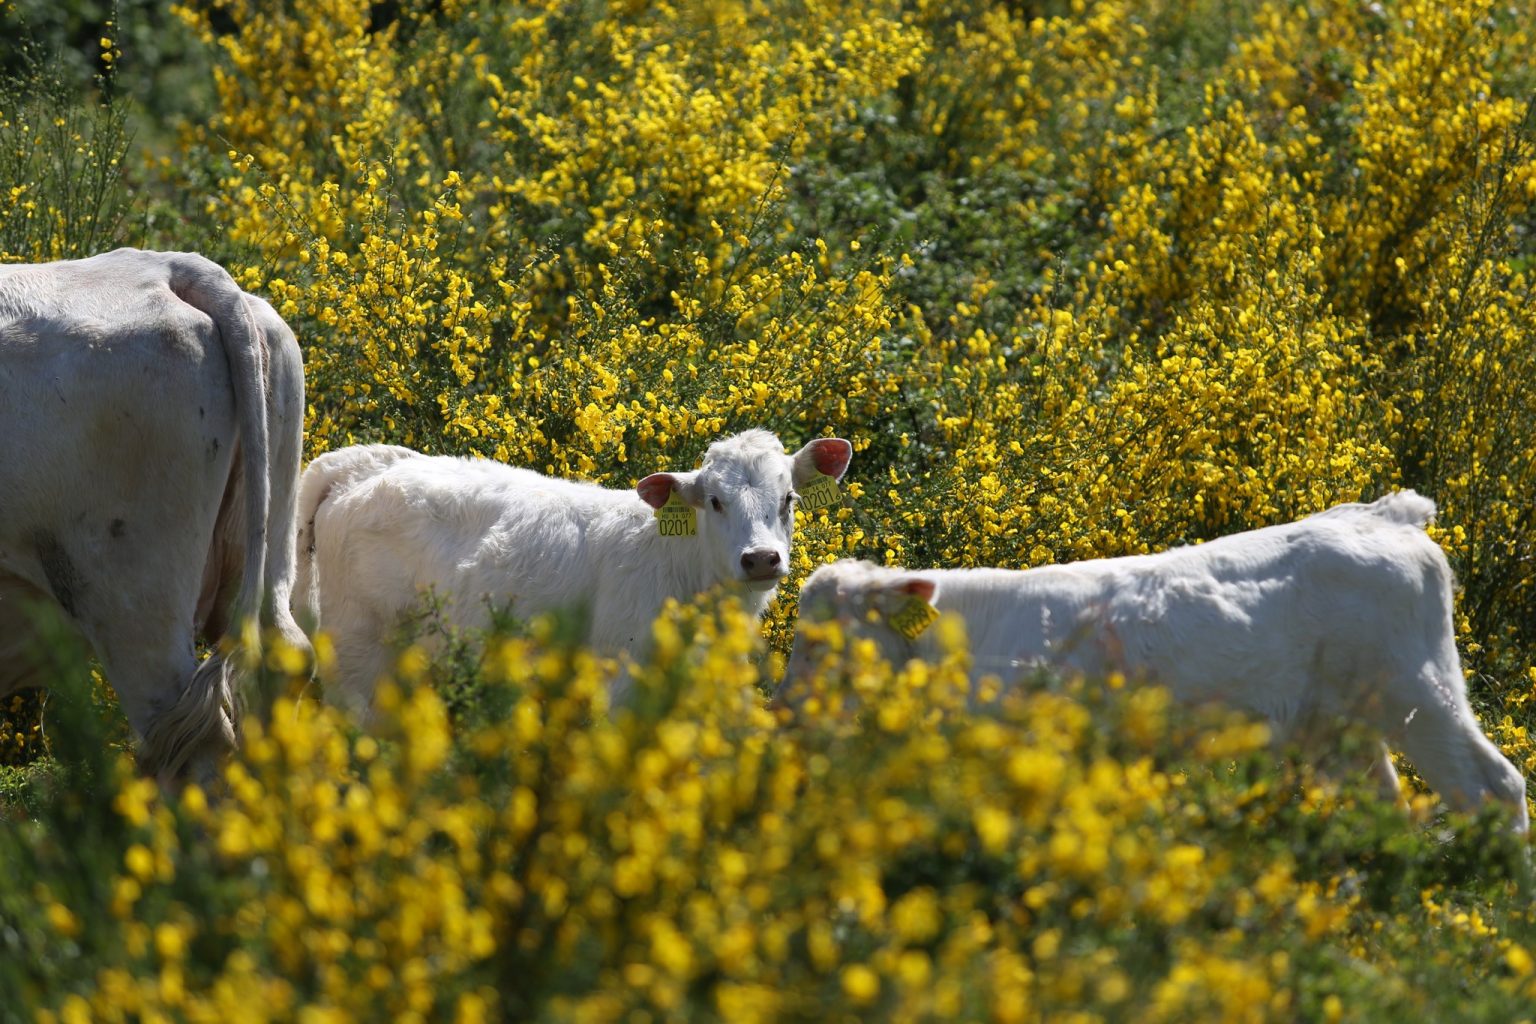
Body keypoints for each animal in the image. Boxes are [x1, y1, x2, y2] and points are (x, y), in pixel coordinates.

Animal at [786, 491, 1529, 835]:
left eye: (820, 642)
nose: (786, 711)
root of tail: (1383, 516)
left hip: (1418, 695)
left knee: (1494, 786)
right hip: (1339, 728)